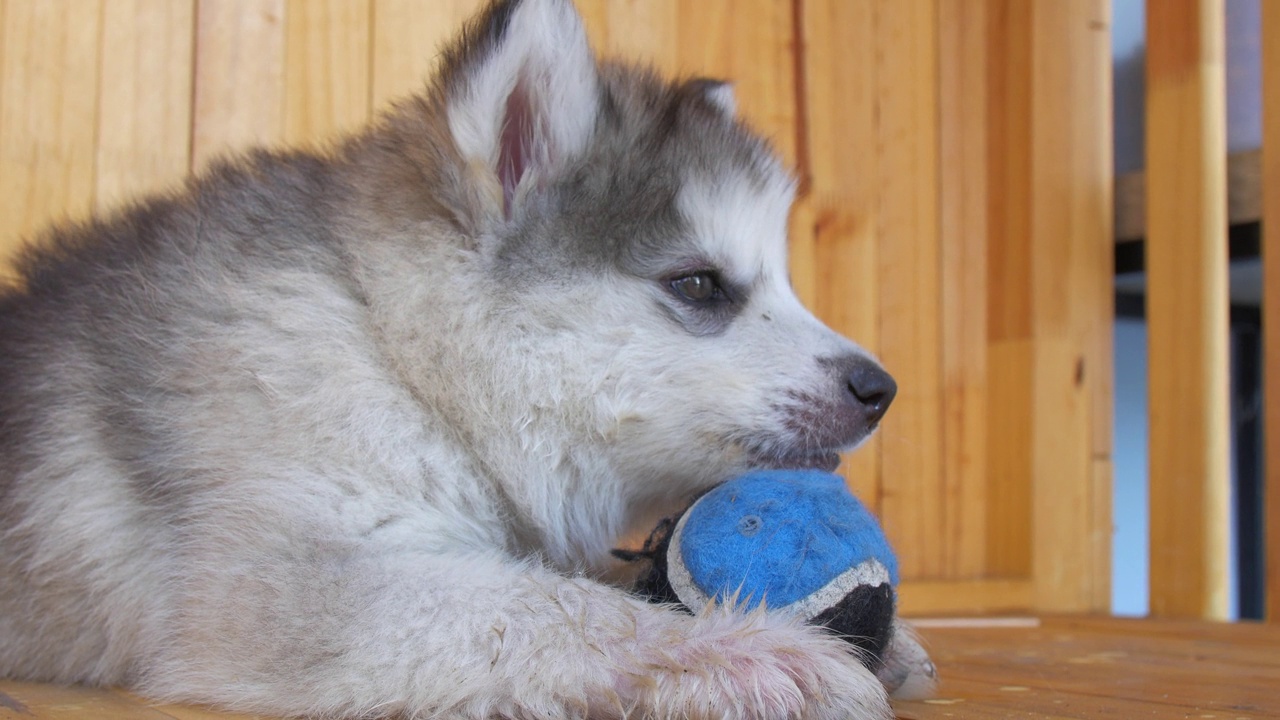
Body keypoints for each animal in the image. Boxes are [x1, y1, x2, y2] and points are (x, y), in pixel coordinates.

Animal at [0, 1, 921, 717]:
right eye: (698, 284)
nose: (879, 388)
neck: (390, 348)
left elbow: (563, 581)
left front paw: (886, 640)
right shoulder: (286, 590)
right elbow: (545, 606)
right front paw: (747, 649)